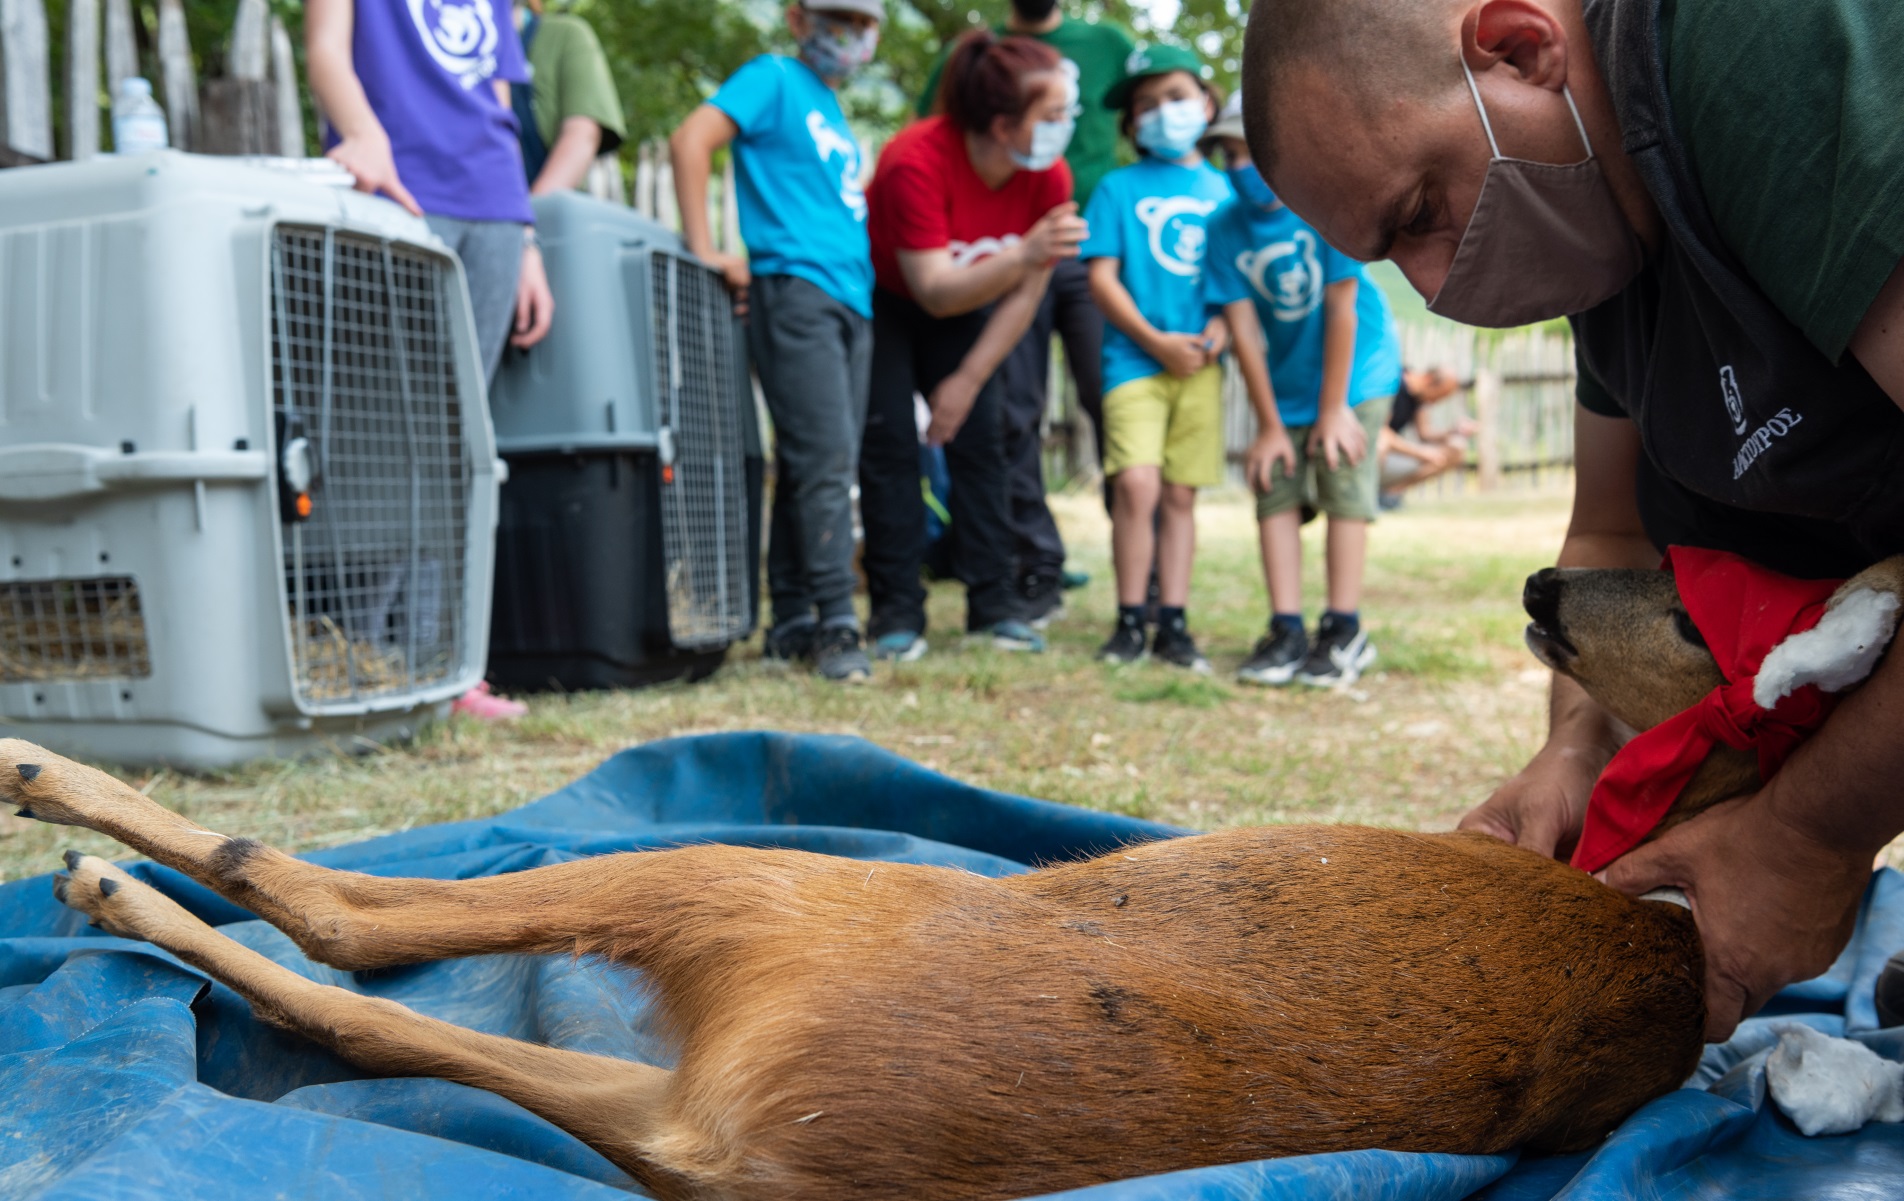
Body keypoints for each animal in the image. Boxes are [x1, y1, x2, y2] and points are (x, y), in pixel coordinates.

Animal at [11, 555, 1904, 1201]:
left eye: (1699, 614)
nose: (1540, 583)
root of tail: (754, 1131)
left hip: (764, 883)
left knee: (343, 918)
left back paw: (75, 828)